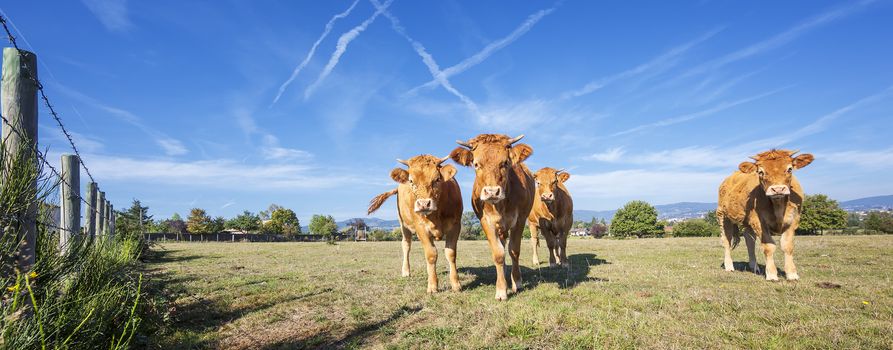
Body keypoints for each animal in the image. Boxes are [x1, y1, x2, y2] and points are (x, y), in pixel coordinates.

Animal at [450, 133, 532, 300]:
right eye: (476, 164)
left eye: (505, 163)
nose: (492, 192)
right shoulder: (485, 221)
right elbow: (498, 253)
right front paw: (501, 289)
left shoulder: (520, 219)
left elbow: (514, 251)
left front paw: (517, 282)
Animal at [716, 149, 816, 280]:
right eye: (760, 172)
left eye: (790, 169)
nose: (778, 189)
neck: (778, 206)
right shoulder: (759, 222)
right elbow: (769, 246)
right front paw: (772, 274)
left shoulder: (793, 220)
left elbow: (788, 246)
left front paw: (792, 274)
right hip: (723, 216)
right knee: (726, 240)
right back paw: (729, 266)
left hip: (747, 221)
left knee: (749, 239)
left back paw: (754, 267)